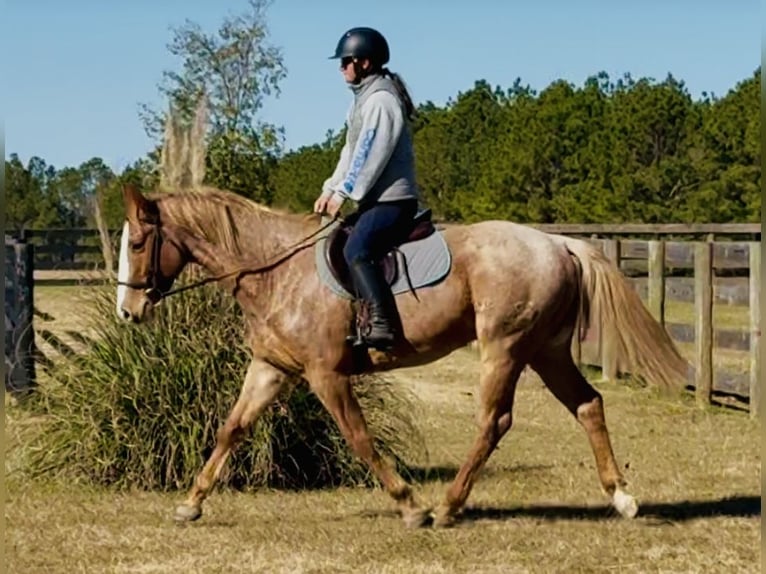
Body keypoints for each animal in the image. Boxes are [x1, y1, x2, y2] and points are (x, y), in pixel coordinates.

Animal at [116, 183, 689, 528]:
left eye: (140, 242)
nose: (128, 311)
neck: (276, 271)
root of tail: (558, 244)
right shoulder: (272, 369)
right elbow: (230, 430)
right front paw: (191, 503)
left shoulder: (326, 375)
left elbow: (359, 438)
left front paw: (409, 504)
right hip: (546, 351)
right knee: (588, 405)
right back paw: (621, 498)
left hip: (505, 348)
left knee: (494, 421)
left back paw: (449, 506)